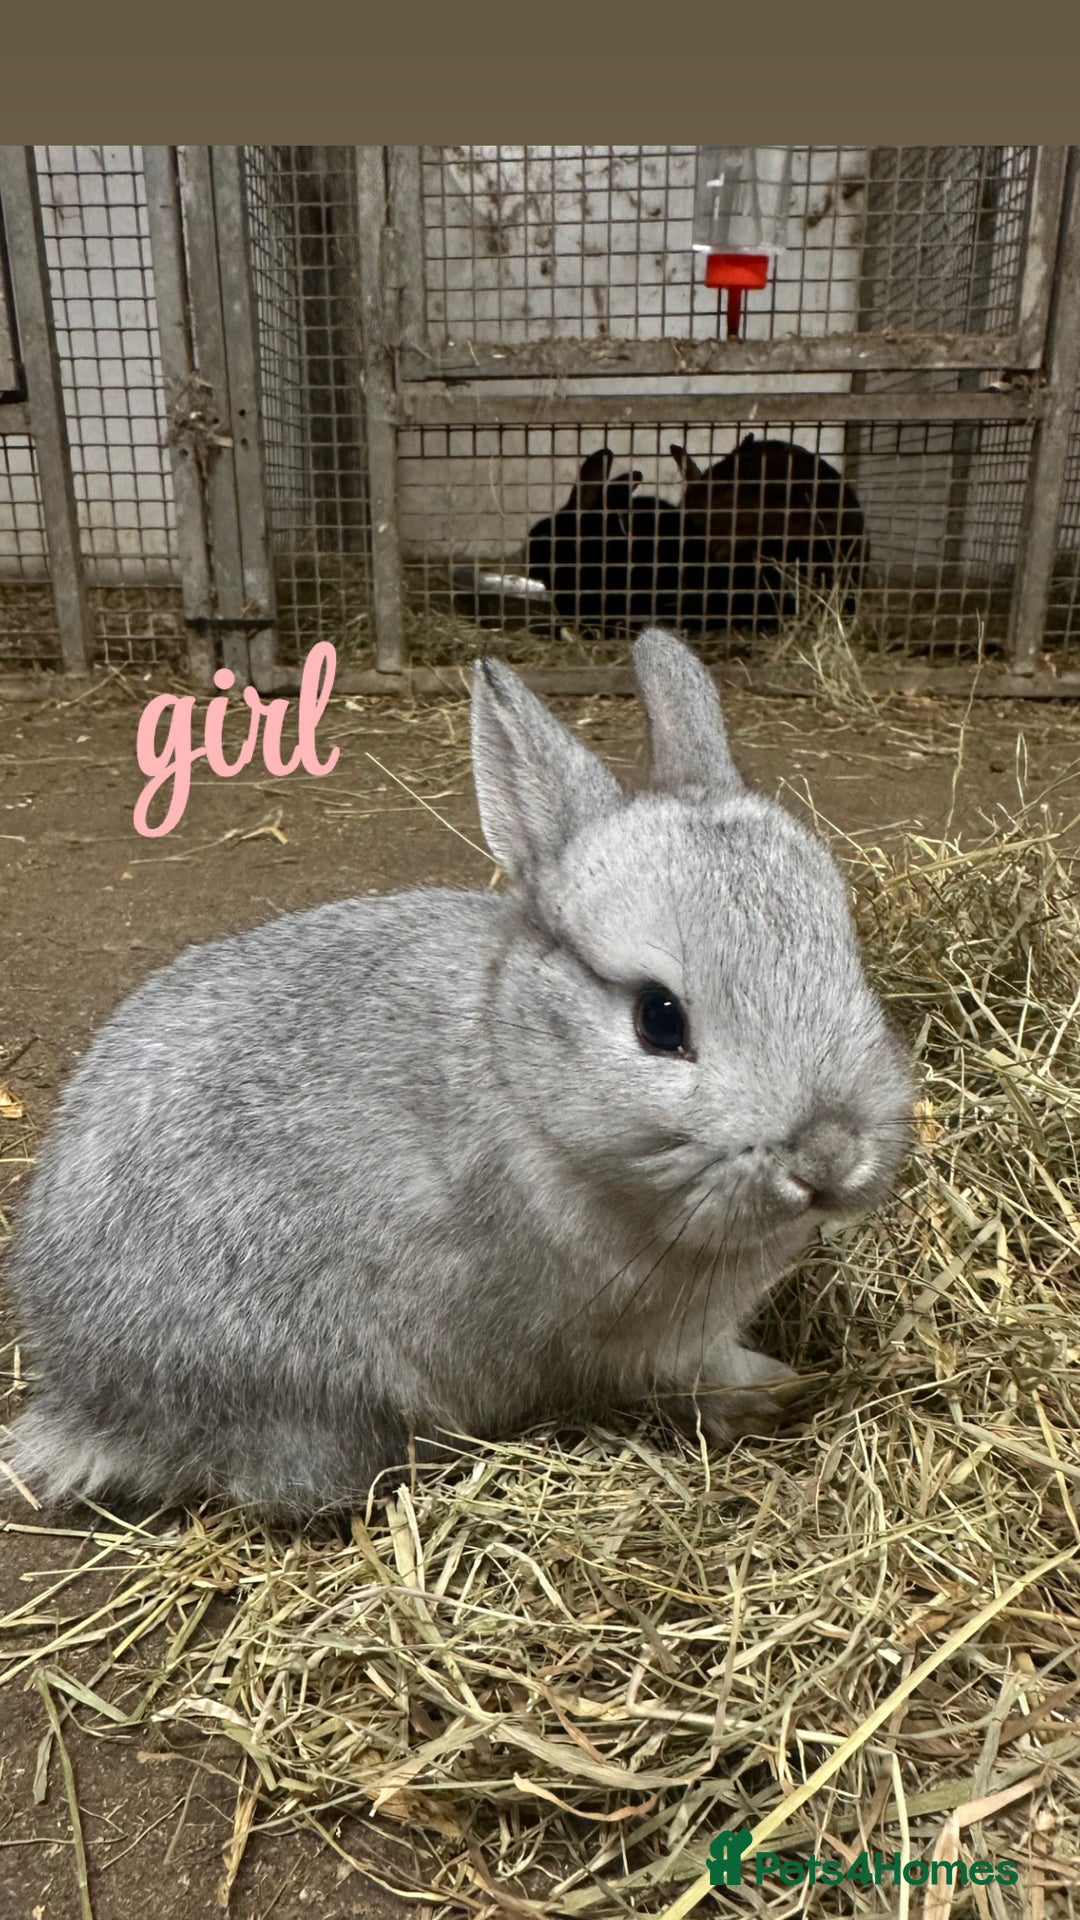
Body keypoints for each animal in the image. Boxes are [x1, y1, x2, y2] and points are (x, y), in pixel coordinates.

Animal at [1, 632, 912, 1518]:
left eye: (849, 962)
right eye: (660, 1020)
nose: (829, 1156)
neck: (522, 1078)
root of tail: (93, 1403)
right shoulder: (646, 1337)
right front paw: (770, 1393)